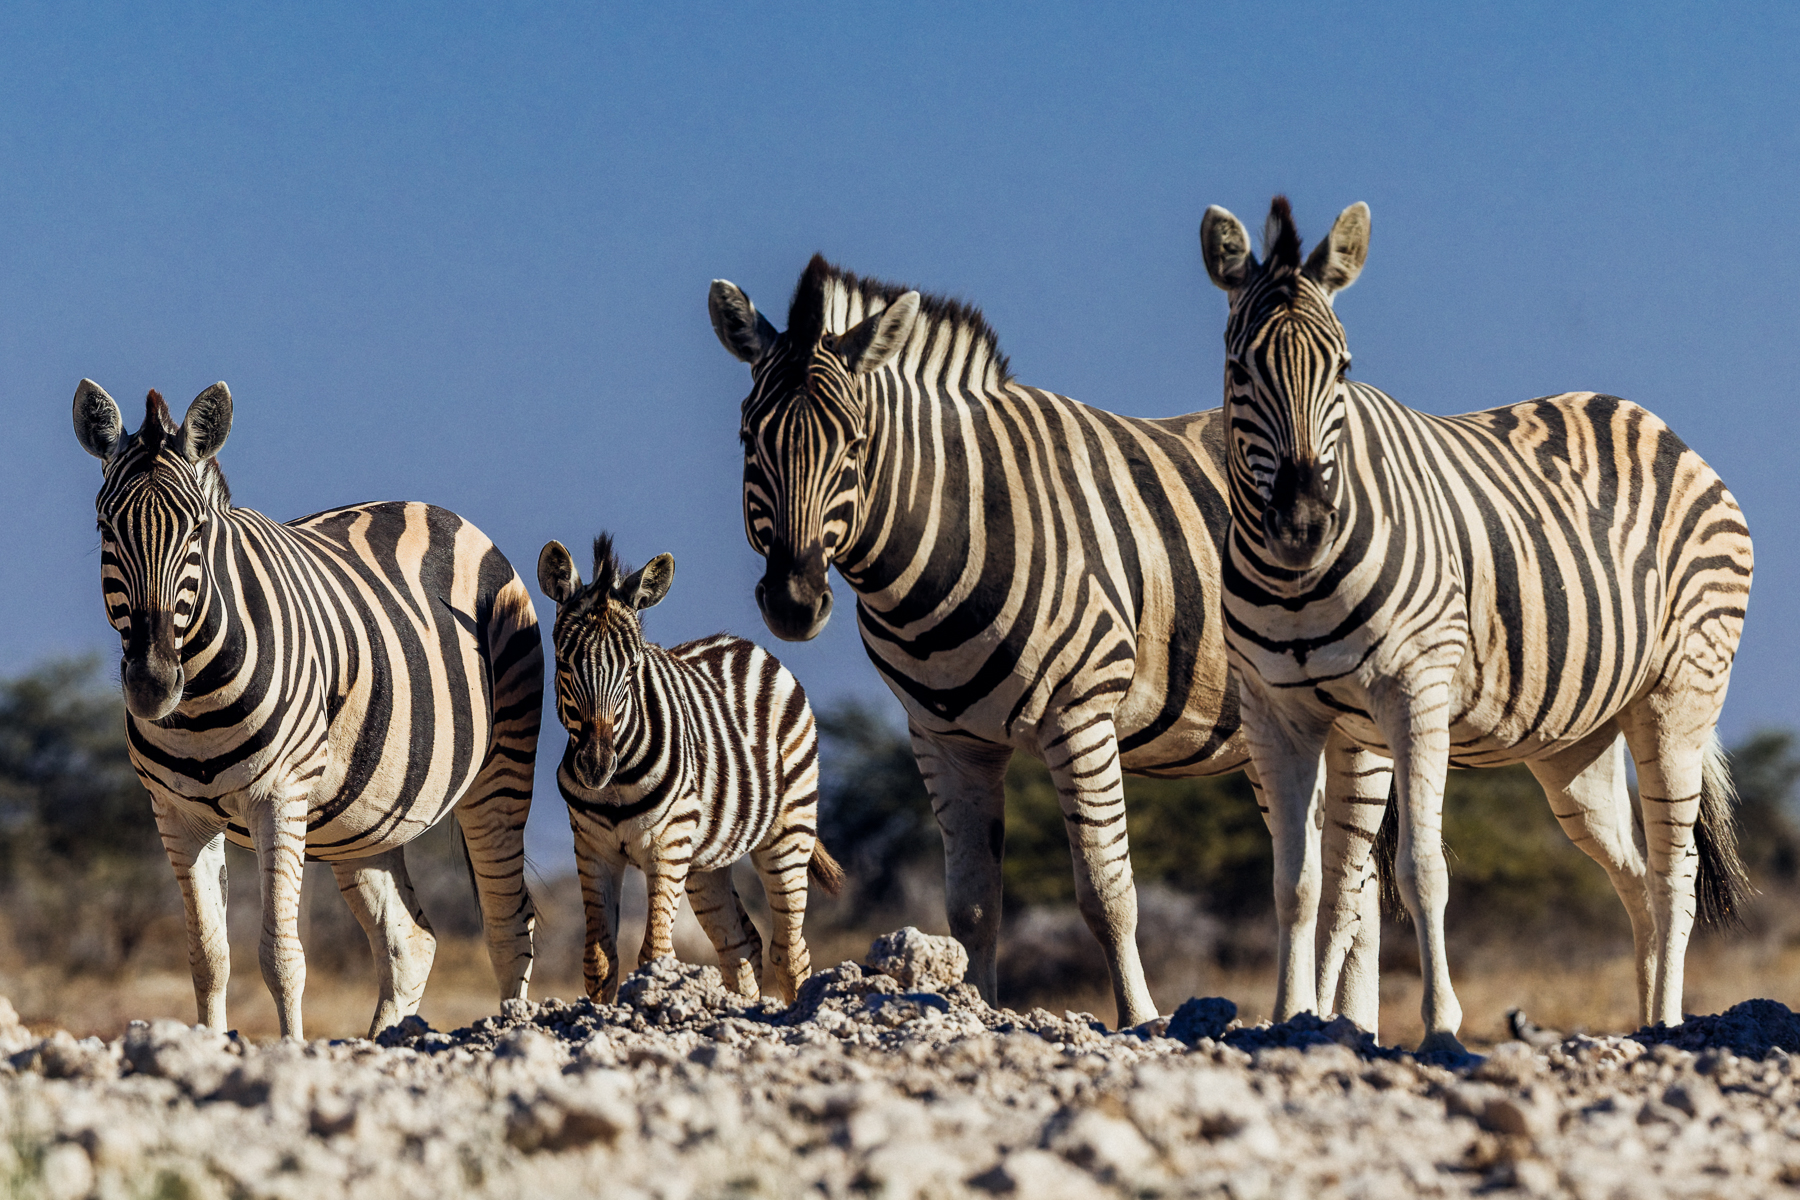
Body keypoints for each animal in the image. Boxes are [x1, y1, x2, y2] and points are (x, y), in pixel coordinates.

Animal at [72, 380, 541, 1040]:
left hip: (501, 771)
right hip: (365, 817)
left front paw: (291, 1053)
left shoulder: (281, 796)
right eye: (104, 525)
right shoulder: (176, 813)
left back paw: (509, 1034)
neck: (196, 704)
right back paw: (383, 1044)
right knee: (410, 942)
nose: (152, 684)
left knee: (509, 924)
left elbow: (280, 955)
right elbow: (207, 956)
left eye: (197, 530)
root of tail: (431, 508)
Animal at [537, 533, 844, 1004]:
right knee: (740, 945)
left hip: (788, 831)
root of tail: (746, 645)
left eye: (632, 670)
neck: (617, 784)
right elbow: (598, 958)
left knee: (790, 949)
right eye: (563, 664)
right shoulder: (592, 848)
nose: (594, 766)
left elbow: (656, 953)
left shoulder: (667, 845)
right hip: (706, 861)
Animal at [707, 255, 1400, 1031]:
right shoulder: (945, 738)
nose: (794, 604)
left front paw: (1139, 1021)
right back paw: (1345, 1025)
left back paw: (1334, 1023)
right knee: (1356, 889)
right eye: (748, 439)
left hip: (1355, 718)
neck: (959, 523)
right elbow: (972, 907)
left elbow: (1107, 894)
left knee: (1351, 882)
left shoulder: (1080, 716)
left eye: (855, 443)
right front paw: (969, 1009)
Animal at [1199, 197, 1753, 1051]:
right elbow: (1295, 881)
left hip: (1678, 697)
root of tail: (1664, 430)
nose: (1302, 524)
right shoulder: (1275, 713)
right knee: (1632, 876)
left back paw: (1666, 1024)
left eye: (1344, 370)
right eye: (1238, 371)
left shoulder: (1413, 695)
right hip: (1576, 747)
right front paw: (1290, 1019)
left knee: (1674, 872)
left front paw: (1441, 1026)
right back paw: (1640, 1020)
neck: (1297, 583)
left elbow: (1421, 868)